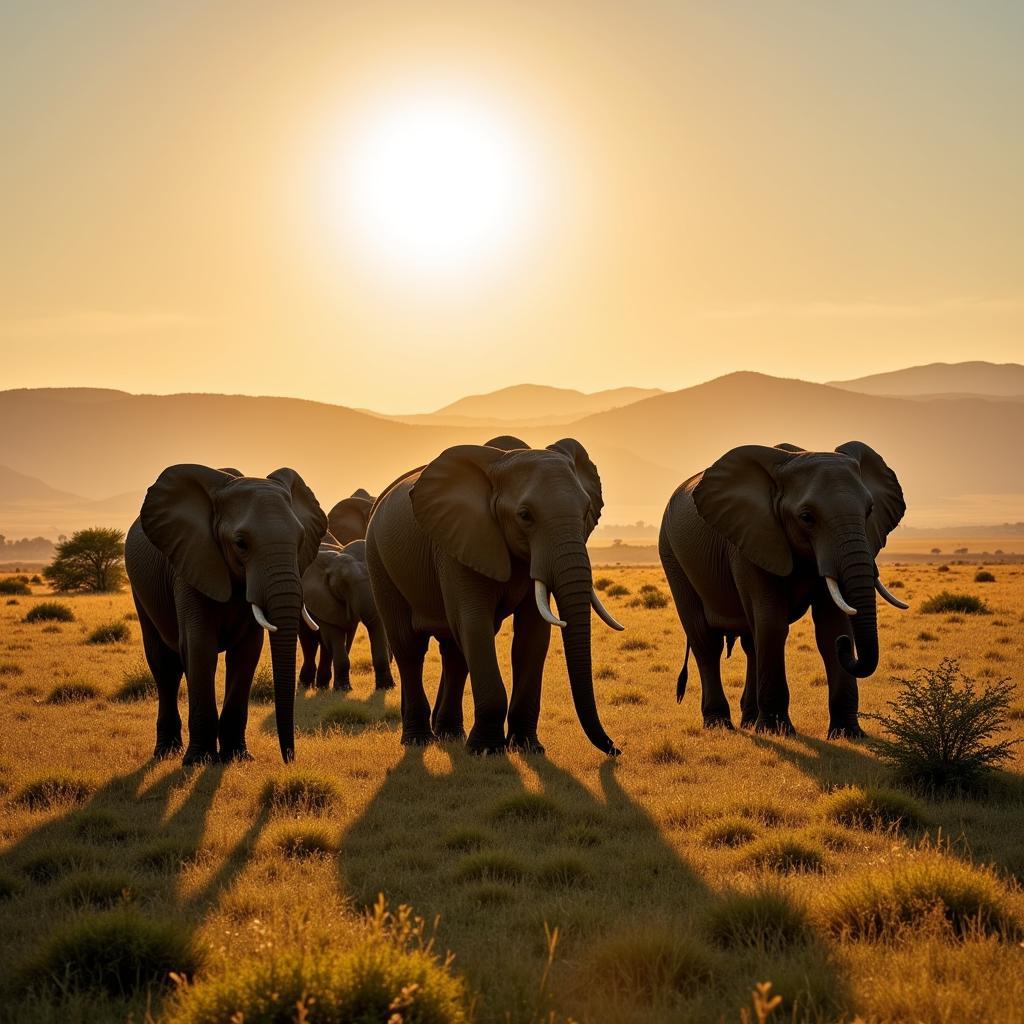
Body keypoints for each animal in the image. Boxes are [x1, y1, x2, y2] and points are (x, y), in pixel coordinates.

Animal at [123, 464, 325, 761]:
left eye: (300, 541)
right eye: (241, 543)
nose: (290, 758)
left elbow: (246, 652)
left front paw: (237, 756)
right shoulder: (191, 563)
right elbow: (199, 646)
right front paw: (199, 760)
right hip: (140, 589)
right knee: (164, 664)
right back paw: (166, 752)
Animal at [299, 540, 393, 692]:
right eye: (343, 585)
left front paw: (386, 687)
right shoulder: (322, 599)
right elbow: (333, 631)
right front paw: (343, 689)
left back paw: (322, 687)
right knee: (309, 641)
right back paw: (308, 686)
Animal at [368, 436, 622, 757]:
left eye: (587, 510)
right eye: (525, 516)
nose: (616, 748)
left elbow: (532, 634)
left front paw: (528, 747)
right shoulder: (458, 542)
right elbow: (475, 624)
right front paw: (487, 750)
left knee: (453, 653)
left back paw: (449, 734)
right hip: (379, 560)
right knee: (409, 646)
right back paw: (418, 740)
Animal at [655, 440, 905, 737]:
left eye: (870, 511)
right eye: (807, 517)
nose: (846, 646)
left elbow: (831, 627)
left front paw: (847, 734)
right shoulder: (751, 540)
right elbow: (772, 623)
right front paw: (777, 732)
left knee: (751, 643)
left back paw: (750, 721)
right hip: (672, 556)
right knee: (706, 641)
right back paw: (720, 724)